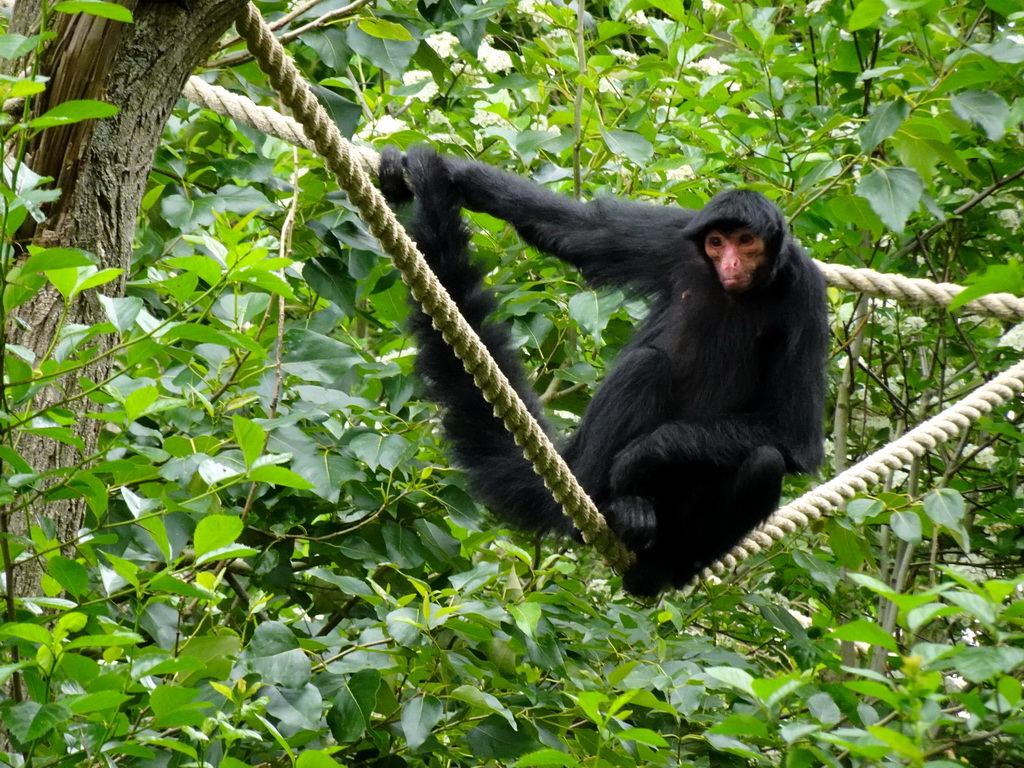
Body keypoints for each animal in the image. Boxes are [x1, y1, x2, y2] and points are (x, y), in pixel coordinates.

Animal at [380, 147, 827, 598]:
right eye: (717, 242)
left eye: (746, 241)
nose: (731, 261)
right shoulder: (673, 236)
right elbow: (575, 228)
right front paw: (437, 169)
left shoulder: (806, 291)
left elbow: (795, 437)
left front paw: (643, 456)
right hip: (593, 465)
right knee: (646, 364)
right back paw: (615, 506)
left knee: (765, 463)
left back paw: (662, 566)